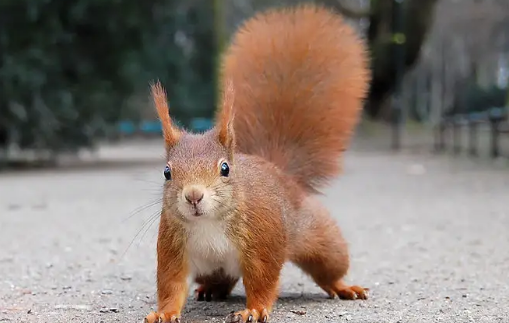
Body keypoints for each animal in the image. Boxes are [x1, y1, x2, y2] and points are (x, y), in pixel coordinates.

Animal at [143, 3, 370, 323]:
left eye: (225, 168)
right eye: (166, 172)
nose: (194, 195)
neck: (209, 223)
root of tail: (278, 171)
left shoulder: (262, 241)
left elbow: (262, 279)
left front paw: (254, 309)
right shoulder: (173, 248)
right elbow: (171, 284)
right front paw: (163, 313)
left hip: (321, 239)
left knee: (329, 267)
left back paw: (343, 286)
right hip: (210, 269)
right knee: (220, 279)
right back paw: (211, 290)